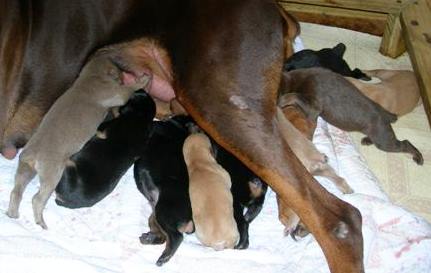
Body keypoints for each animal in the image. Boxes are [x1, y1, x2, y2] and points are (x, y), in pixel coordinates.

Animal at [5, 39, 152, 227]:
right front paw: (143, 79)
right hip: (52, 173)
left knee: (16, 190)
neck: (90, 76)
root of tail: (32, 154)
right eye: (118, 70)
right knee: (37, 199)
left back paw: (12, 214)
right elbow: (127, 90)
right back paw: (40, 221)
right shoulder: (116, 92)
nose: (125, 72)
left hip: (25, 168)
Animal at [280, 67, 426, 166]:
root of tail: (387, 115)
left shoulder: (314, 108)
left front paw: (282, 100)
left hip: (384, 141)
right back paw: (367, 140)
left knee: (405, 143)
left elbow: (294, 96)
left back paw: (418, 157)